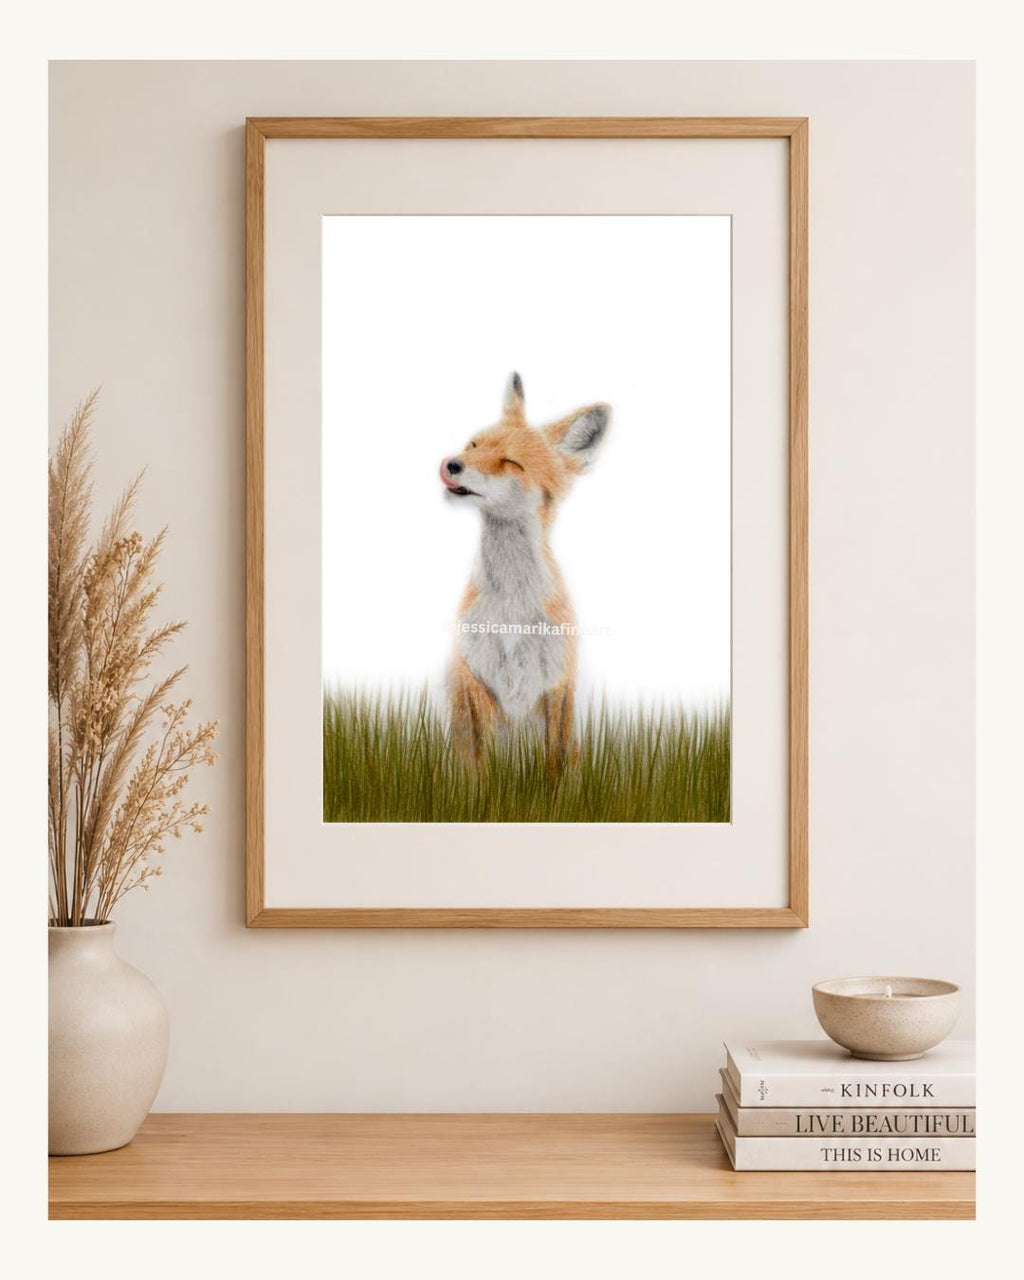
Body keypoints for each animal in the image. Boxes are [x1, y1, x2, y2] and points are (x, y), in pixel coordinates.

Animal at [440, 373, 611, 773]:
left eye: (510, 462)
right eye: (473, 445)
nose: (452, 464)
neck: (510, 608)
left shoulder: (556, 687)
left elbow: (553, 767)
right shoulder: (475, 683)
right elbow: (479, 770)